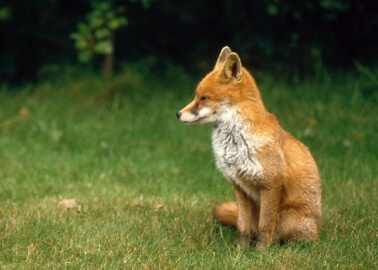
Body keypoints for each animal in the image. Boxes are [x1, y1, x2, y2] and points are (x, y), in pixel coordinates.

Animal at [177, 46, 322, 249]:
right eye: (196, 96)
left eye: (204, 98)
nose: (178, 114)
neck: (236, 142)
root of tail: (318, 229)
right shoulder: (239, 186)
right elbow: (242, 227)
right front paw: (239, 251)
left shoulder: (271, 184)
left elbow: (264, 227)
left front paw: (261, 253)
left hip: (287, 218)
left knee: (280, 237)